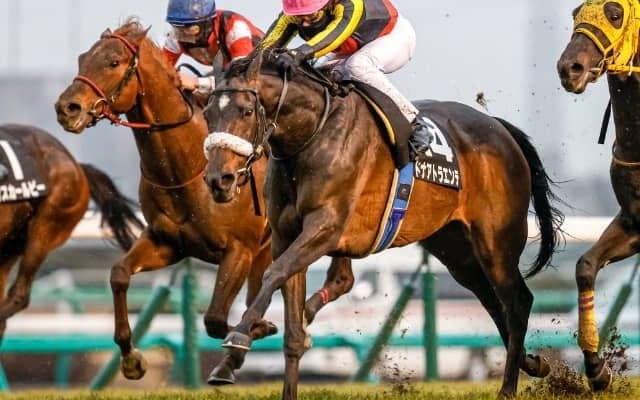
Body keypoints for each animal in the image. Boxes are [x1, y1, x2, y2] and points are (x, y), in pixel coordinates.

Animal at [54, 20, 354, 382]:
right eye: (83, 58)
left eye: (113, 62)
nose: (67, 108)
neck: (186, 169)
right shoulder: (167, 242)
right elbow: (119, 274)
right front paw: (131, 359)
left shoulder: (239, 250)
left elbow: (214, 319)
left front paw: (257, 329)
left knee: (337, 279)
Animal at [202, 50, 565, 399]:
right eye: (207, 114)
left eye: (247, 111)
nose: (218, 180)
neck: (312, 135)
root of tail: (500, 128)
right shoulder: (285, 237)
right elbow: (291, 326)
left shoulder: (325, 227)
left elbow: (273, 273)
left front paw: (239, 337)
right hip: (456, 249)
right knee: (492, 301)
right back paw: (532, 363)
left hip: (496, 242)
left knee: (517, 302)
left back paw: (508, 387)